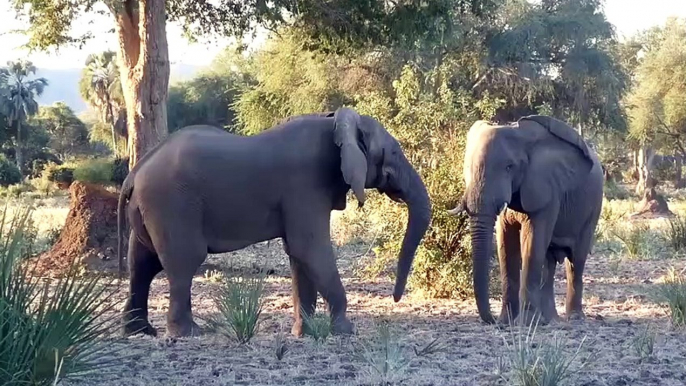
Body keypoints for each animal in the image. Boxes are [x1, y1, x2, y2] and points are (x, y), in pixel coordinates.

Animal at [117, 106, 430, 338]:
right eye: (393, 153)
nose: (395, 299)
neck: (335, 124)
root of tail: (134, 173)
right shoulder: (305, 186)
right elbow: (310, 250)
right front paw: (344, 331)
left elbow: (299, 256)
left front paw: (303, 334)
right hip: (172, 205)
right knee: (183, 262)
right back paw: (190, 333)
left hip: (149, 210)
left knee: (142, 264)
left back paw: (141, 332)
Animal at [448, 115, 604, 326]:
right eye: (467, 168)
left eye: (509, 167)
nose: (493, 320)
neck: (521, 137)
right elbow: (505, 245)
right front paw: (507, 321)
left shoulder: (546, 188)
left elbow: (532, 243)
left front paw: (525, 322)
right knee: (549, 260)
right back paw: (549, 319)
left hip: (593, 207)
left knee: (576, 260)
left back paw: (573, 318)